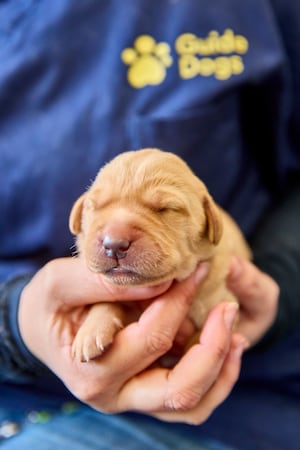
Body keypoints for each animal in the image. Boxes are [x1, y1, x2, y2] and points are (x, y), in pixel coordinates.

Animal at [68, 148, 251, 362]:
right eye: (94, 206)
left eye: (165, 209)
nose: (114, 244)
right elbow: (105, 301)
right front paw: (90, 331)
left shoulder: (225, 301)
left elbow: (197, 339)